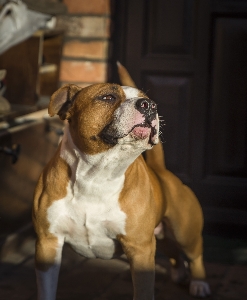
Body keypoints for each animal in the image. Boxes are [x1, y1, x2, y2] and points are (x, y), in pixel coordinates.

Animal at [32, 62, 210, 298]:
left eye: (147, 99)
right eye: (107, 97)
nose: (149, 105)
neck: (97, 175)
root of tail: (160, 171)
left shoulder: (140, 248)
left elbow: (143, 291)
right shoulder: (47, 244)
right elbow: (47, 290)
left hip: (185, 233)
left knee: (194, 254)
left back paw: (199, 283)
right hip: (160, 235)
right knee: (172, 250)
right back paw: (179, 274)